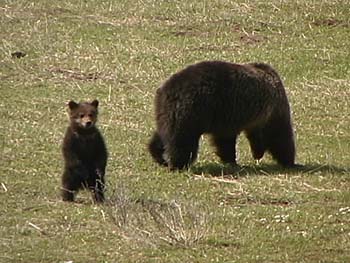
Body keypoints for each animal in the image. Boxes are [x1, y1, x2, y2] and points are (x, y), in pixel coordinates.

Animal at [148, 60, 296, 170]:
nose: (257, 155)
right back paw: (178, 163)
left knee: (163, 134)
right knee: (182, 140)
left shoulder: (226, 117)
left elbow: (223, 140)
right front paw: (288, 159)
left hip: (167, 113)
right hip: (191, 111)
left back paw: (159, 156)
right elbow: (280, 136)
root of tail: (168, 90)